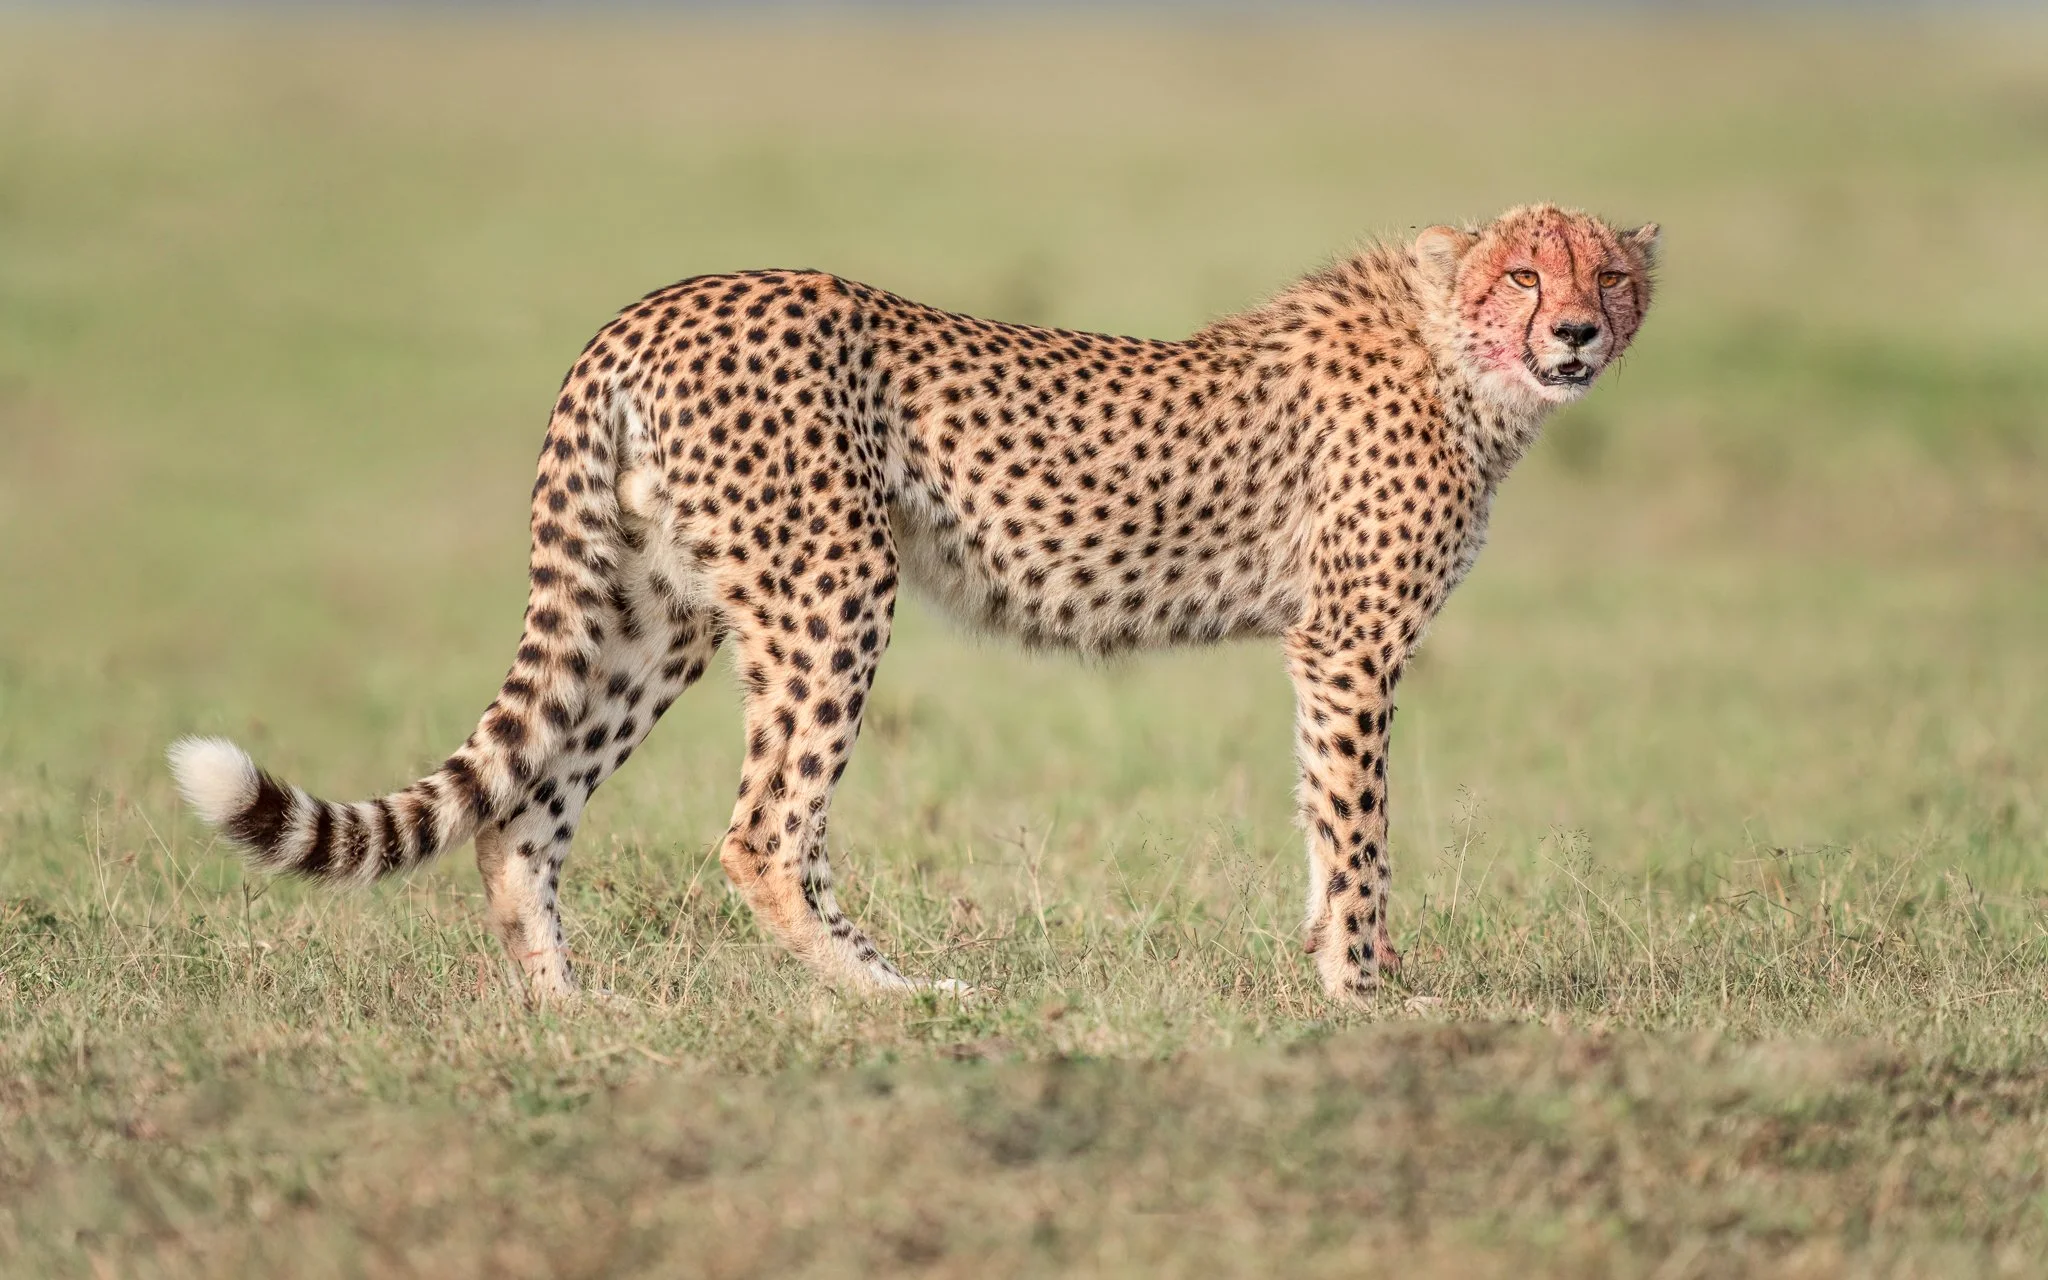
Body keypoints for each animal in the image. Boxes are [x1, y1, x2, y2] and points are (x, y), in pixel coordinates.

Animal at [169, 203, 1659, 1008]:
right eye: (1524, 273)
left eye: (1610, 273)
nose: (1579, 330)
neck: (1460, 357)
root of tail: (652, 305)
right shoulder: (1349, 646)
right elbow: (1356, 830)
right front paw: (1367, 989)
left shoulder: (1323, 651)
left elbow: (1319, 816)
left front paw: (1338, 969)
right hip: (833, 586)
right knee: (761, 832)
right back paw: (894, 997)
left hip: (660, 609)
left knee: (524, 809)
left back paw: (572, 1013)